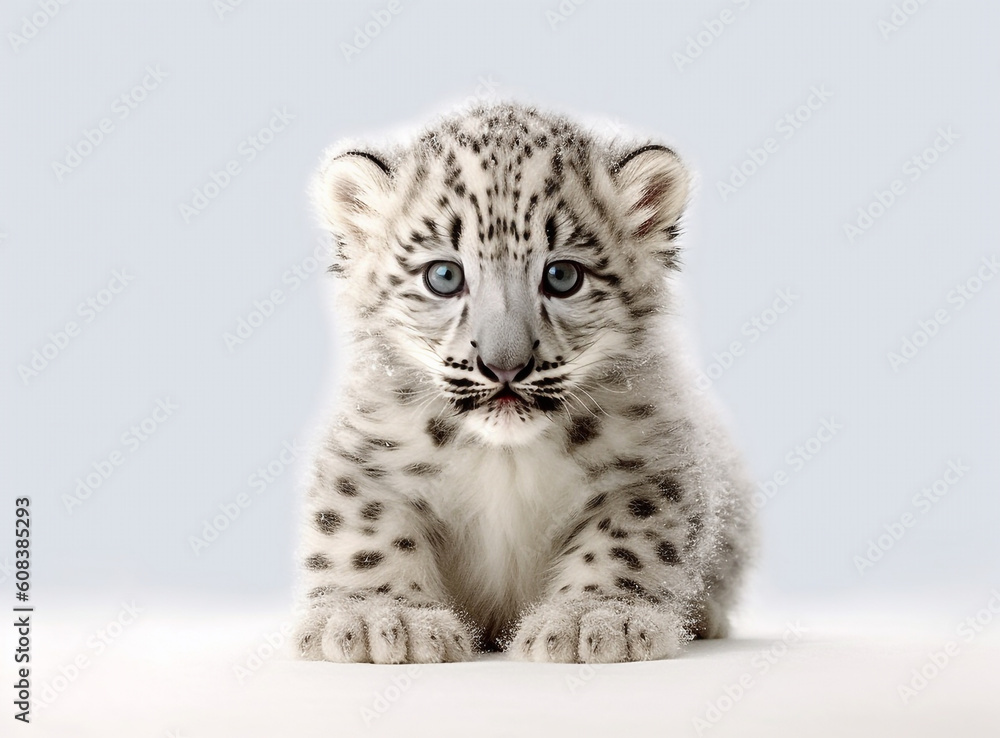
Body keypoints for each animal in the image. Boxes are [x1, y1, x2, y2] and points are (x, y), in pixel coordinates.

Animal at [293, 102, 755, 664]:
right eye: (443, 276)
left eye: (562, 276)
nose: (505, 365)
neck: (505, 457)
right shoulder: (369, 459)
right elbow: (364, 530)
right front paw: (378, 618)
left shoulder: (650, 465)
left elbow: (629, 539)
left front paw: (594, 620)